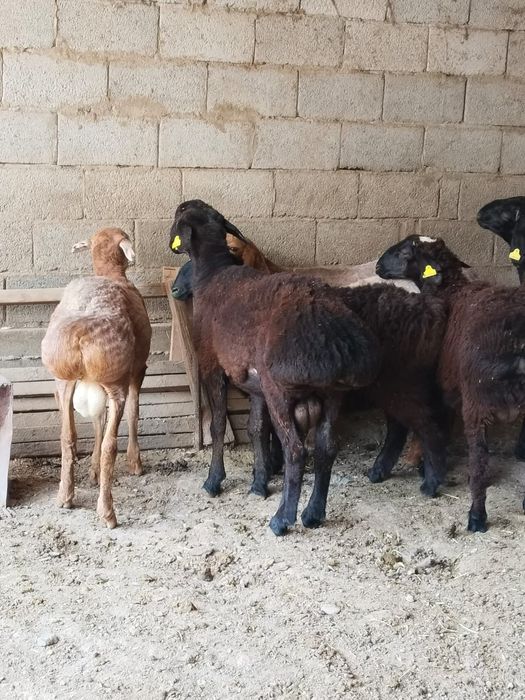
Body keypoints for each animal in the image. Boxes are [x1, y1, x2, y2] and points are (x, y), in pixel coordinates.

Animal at [41, 228, 152, 528]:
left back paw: (65, 496)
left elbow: (97, 422)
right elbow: (134, 413)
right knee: (109, 446)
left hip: (63, 385)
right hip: (116, 384)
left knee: (68, 437)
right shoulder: (138, 371)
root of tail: (80, 336)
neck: (110, 274)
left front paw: (91, 471)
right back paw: (107, 512)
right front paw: (135, 463)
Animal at [171, 200, 382, 536]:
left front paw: (214, 480)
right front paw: (259, 483)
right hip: (333, 394)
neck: (214, 273)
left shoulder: (212, 366)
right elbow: (256, 428)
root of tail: (335, 338)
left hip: (280, 390)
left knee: (295, 450)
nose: (175, 289)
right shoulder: (256, 385)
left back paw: (282, 519)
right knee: (326, 447)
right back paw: (313, 514)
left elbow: (218, 425)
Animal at [377, 233, 525, 532]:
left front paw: (426, 467)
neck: (450, 292)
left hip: (477, 400)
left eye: (405, 251)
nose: (377, 265)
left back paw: (476, 517)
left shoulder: (441, 386)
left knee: (478, 460)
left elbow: (436, 427)